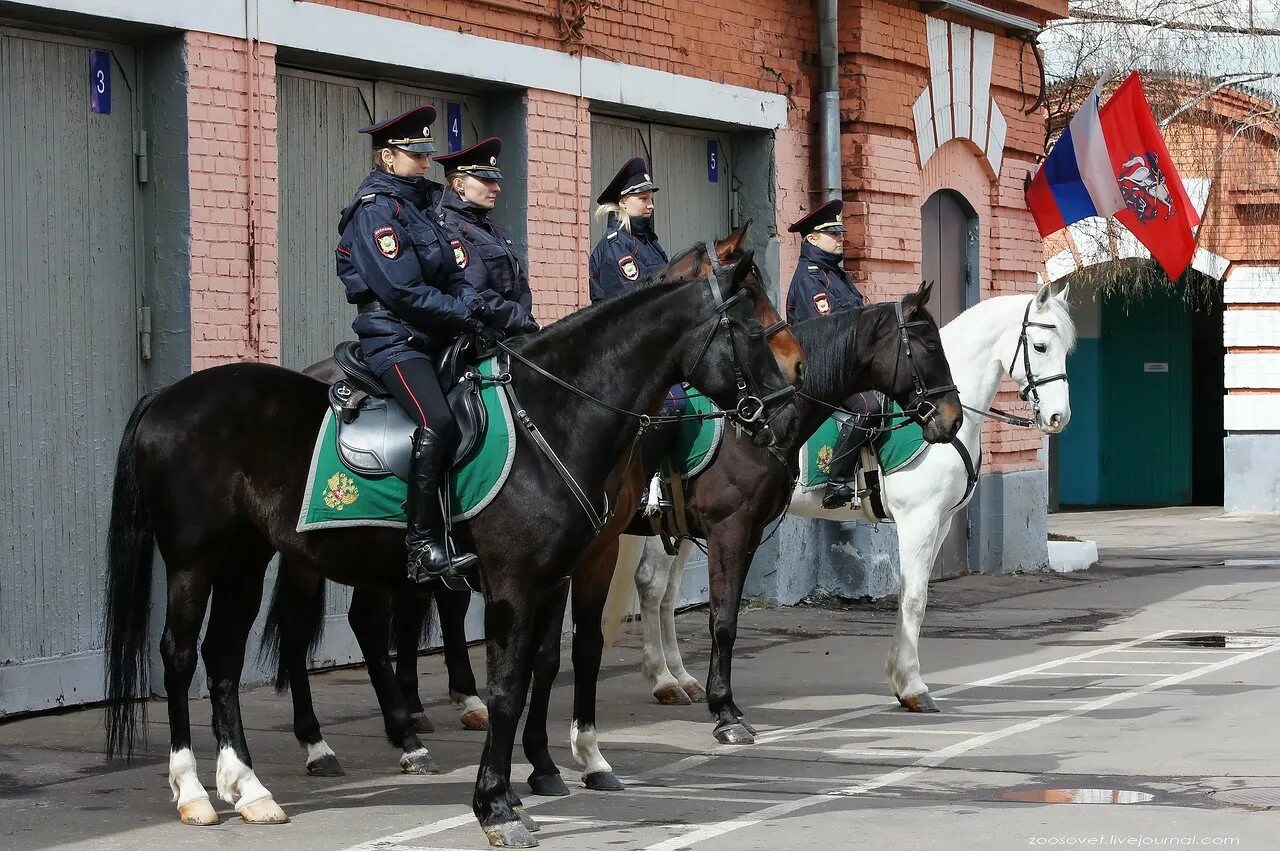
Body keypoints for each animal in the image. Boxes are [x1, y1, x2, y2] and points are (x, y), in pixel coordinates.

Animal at [102, 245, 798, 844]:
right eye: (754, 331)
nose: (785, 413)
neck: (556, 415)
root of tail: (166, 397)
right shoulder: (516, 584)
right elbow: (506, 689)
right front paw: (497, 805)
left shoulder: (553, 579)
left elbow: (542, 668)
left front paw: (533, 779)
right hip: (195, 559)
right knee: (182, 654)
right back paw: (198, 790)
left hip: (247, 558)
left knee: (223, 657)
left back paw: (249, 789)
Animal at [619, 286, 1070, 716]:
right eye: (1041, 347)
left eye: (1067, 349)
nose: (1058, 419)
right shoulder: (919, 519)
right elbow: (915, 598)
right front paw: (913, 686)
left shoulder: (940, 523)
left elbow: (911, 593)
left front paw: (899, 679)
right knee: (653, 586)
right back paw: (663, 680)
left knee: (669, 592)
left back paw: (681, 677)